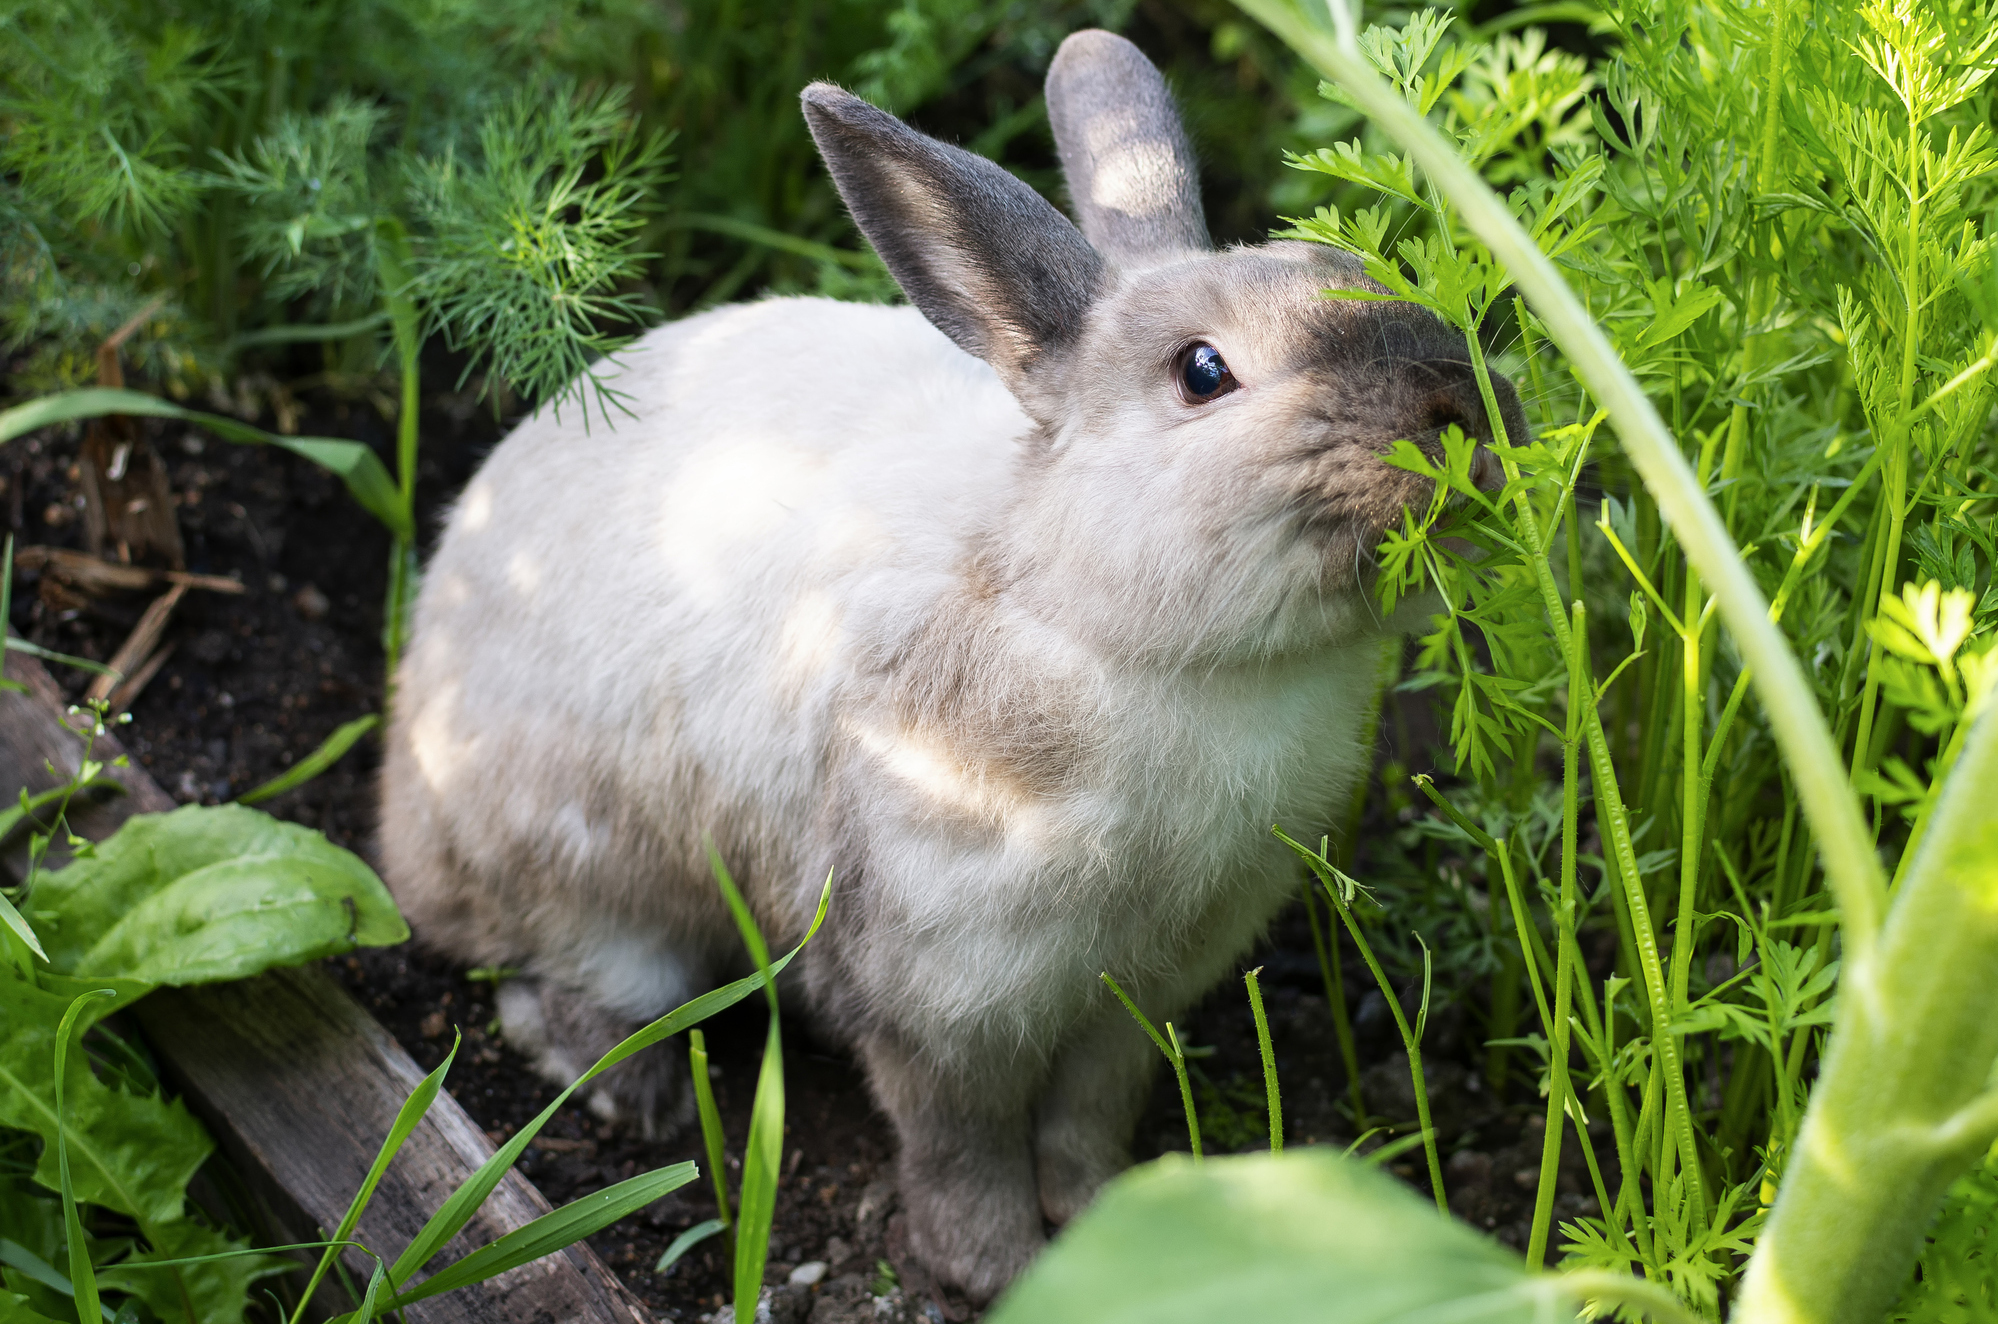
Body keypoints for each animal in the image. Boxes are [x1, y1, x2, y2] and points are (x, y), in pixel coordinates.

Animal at [378, 28, 1525, 1303]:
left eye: (1353, 265)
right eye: (1204, 372)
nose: (1467, 412)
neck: (1121, 633)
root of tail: (405, 804)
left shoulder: (1134, 1000)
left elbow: (1085, 1116)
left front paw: (1101, 1216)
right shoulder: (949, 996)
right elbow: (956, 1140)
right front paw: (995, 1267)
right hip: (599, 888)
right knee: (565, 991)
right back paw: (638, 1098)